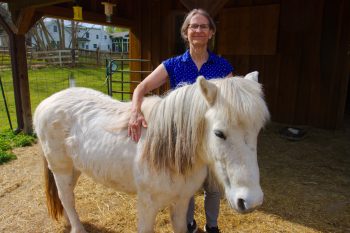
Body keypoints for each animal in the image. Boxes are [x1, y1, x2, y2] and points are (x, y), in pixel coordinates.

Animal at [33, 72, 268, 232]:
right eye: (219, 133)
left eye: (258, 131)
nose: (251, 201)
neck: (167, 152)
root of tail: (46, 102)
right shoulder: (147, 204)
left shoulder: (181, 202)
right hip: (61, 169)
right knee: (66, 197)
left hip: (75, 169)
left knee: (67, 198)